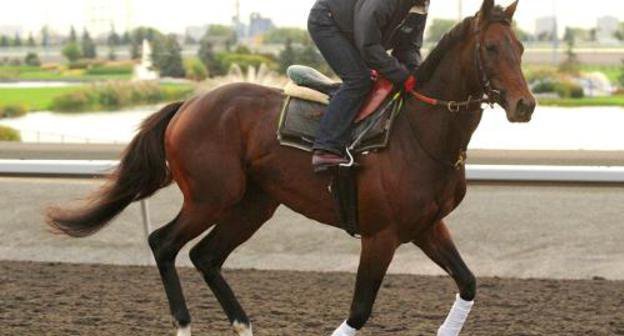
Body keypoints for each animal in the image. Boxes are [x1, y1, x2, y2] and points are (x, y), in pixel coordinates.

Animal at [47, 1, 536, 334]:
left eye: (521, 47)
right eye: (491, 47)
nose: (525, 105)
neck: (418, 133)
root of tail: (188, 103)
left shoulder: (427, 226)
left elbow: (468, 282)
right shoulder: (381, 235)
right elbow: (359, 312)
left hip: (254, 204)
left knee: (206, 256)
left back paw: (243, 326)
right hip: (211, 196)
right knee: (163, 243)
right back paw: (183, 324)